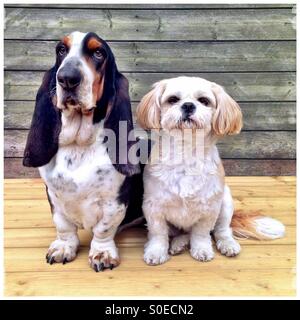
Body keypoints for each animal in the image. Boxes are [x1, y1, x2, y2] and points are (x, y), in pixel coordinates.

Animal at [23, 32, 143, 272]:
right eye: (61, 50)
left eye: (98, 53)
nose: (67, 78)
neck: (79, 146)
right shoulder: (54, 198)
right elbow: (63, 226)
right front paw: (63, 247)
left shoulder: (114, 203)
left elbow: (103, 229)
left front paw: (102, 253)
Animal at [137, 77, 286, 264]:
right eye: (173, 99)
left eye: (204, 101)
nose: (188, 105)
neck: (186, 154)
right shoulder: (153, 206)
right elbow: (158, 233)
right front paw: (156, 252)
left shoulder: (209, 208)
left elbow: (201, 233)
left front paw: (201, 249)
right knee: (183, 233)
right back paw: (179, 243)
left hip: (225, 203)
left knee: (222, 230)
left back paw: (227, 244)